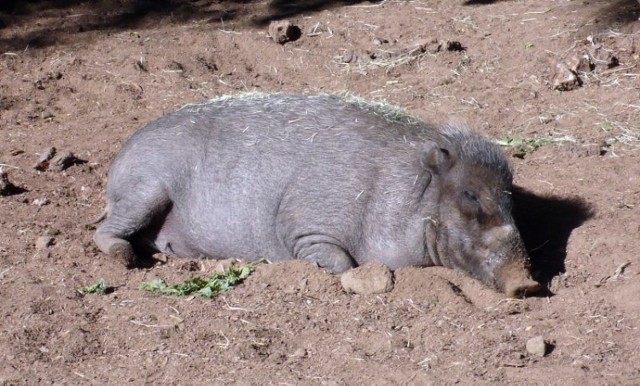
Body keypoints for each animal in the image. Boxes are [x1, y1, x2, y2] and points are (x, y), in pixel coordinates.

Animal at [95, 93, 544, 298]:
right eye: (470, 196)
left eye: (509, 199)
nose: (526, 284)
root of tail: (119, 159)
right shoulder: (304, 225)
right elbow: (340, 262)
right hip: (146, 188)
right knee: (102, 230)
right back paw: (128, 258)